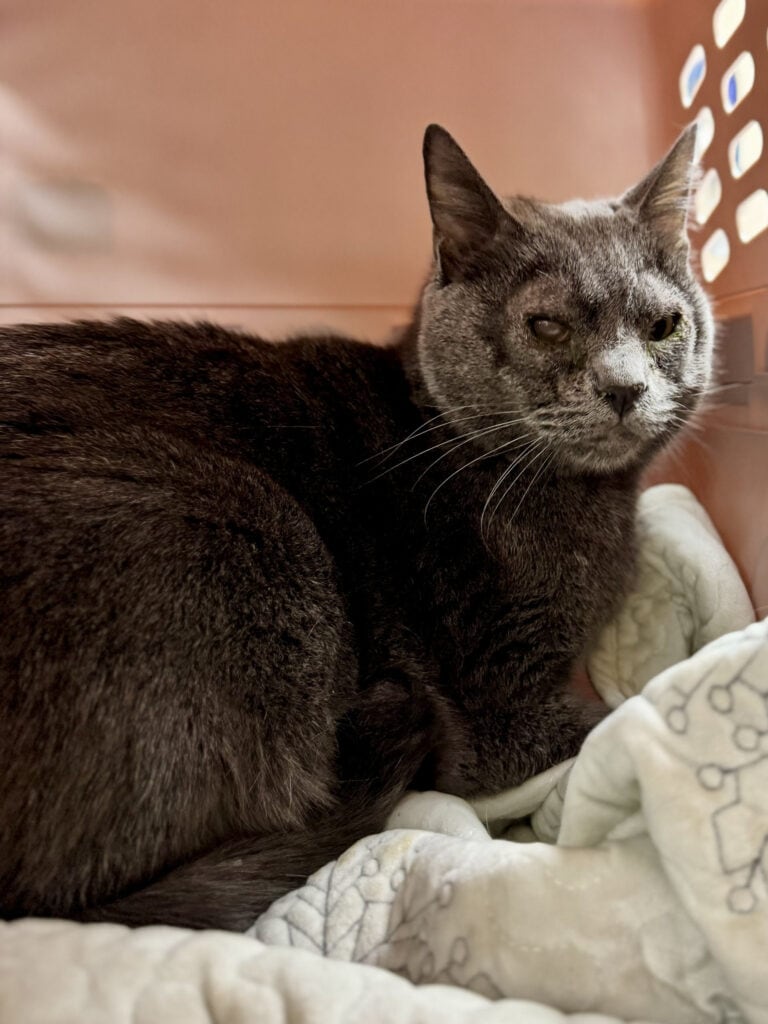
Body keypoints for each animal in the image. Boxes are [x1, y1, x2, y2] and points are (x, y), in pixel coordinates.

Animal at [0, 119, 716, 929]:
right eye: (546, 326)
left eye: (663, 325)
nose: (626, 387)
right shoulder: (501, 707)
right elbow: (629, 713)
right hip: (237, 519)